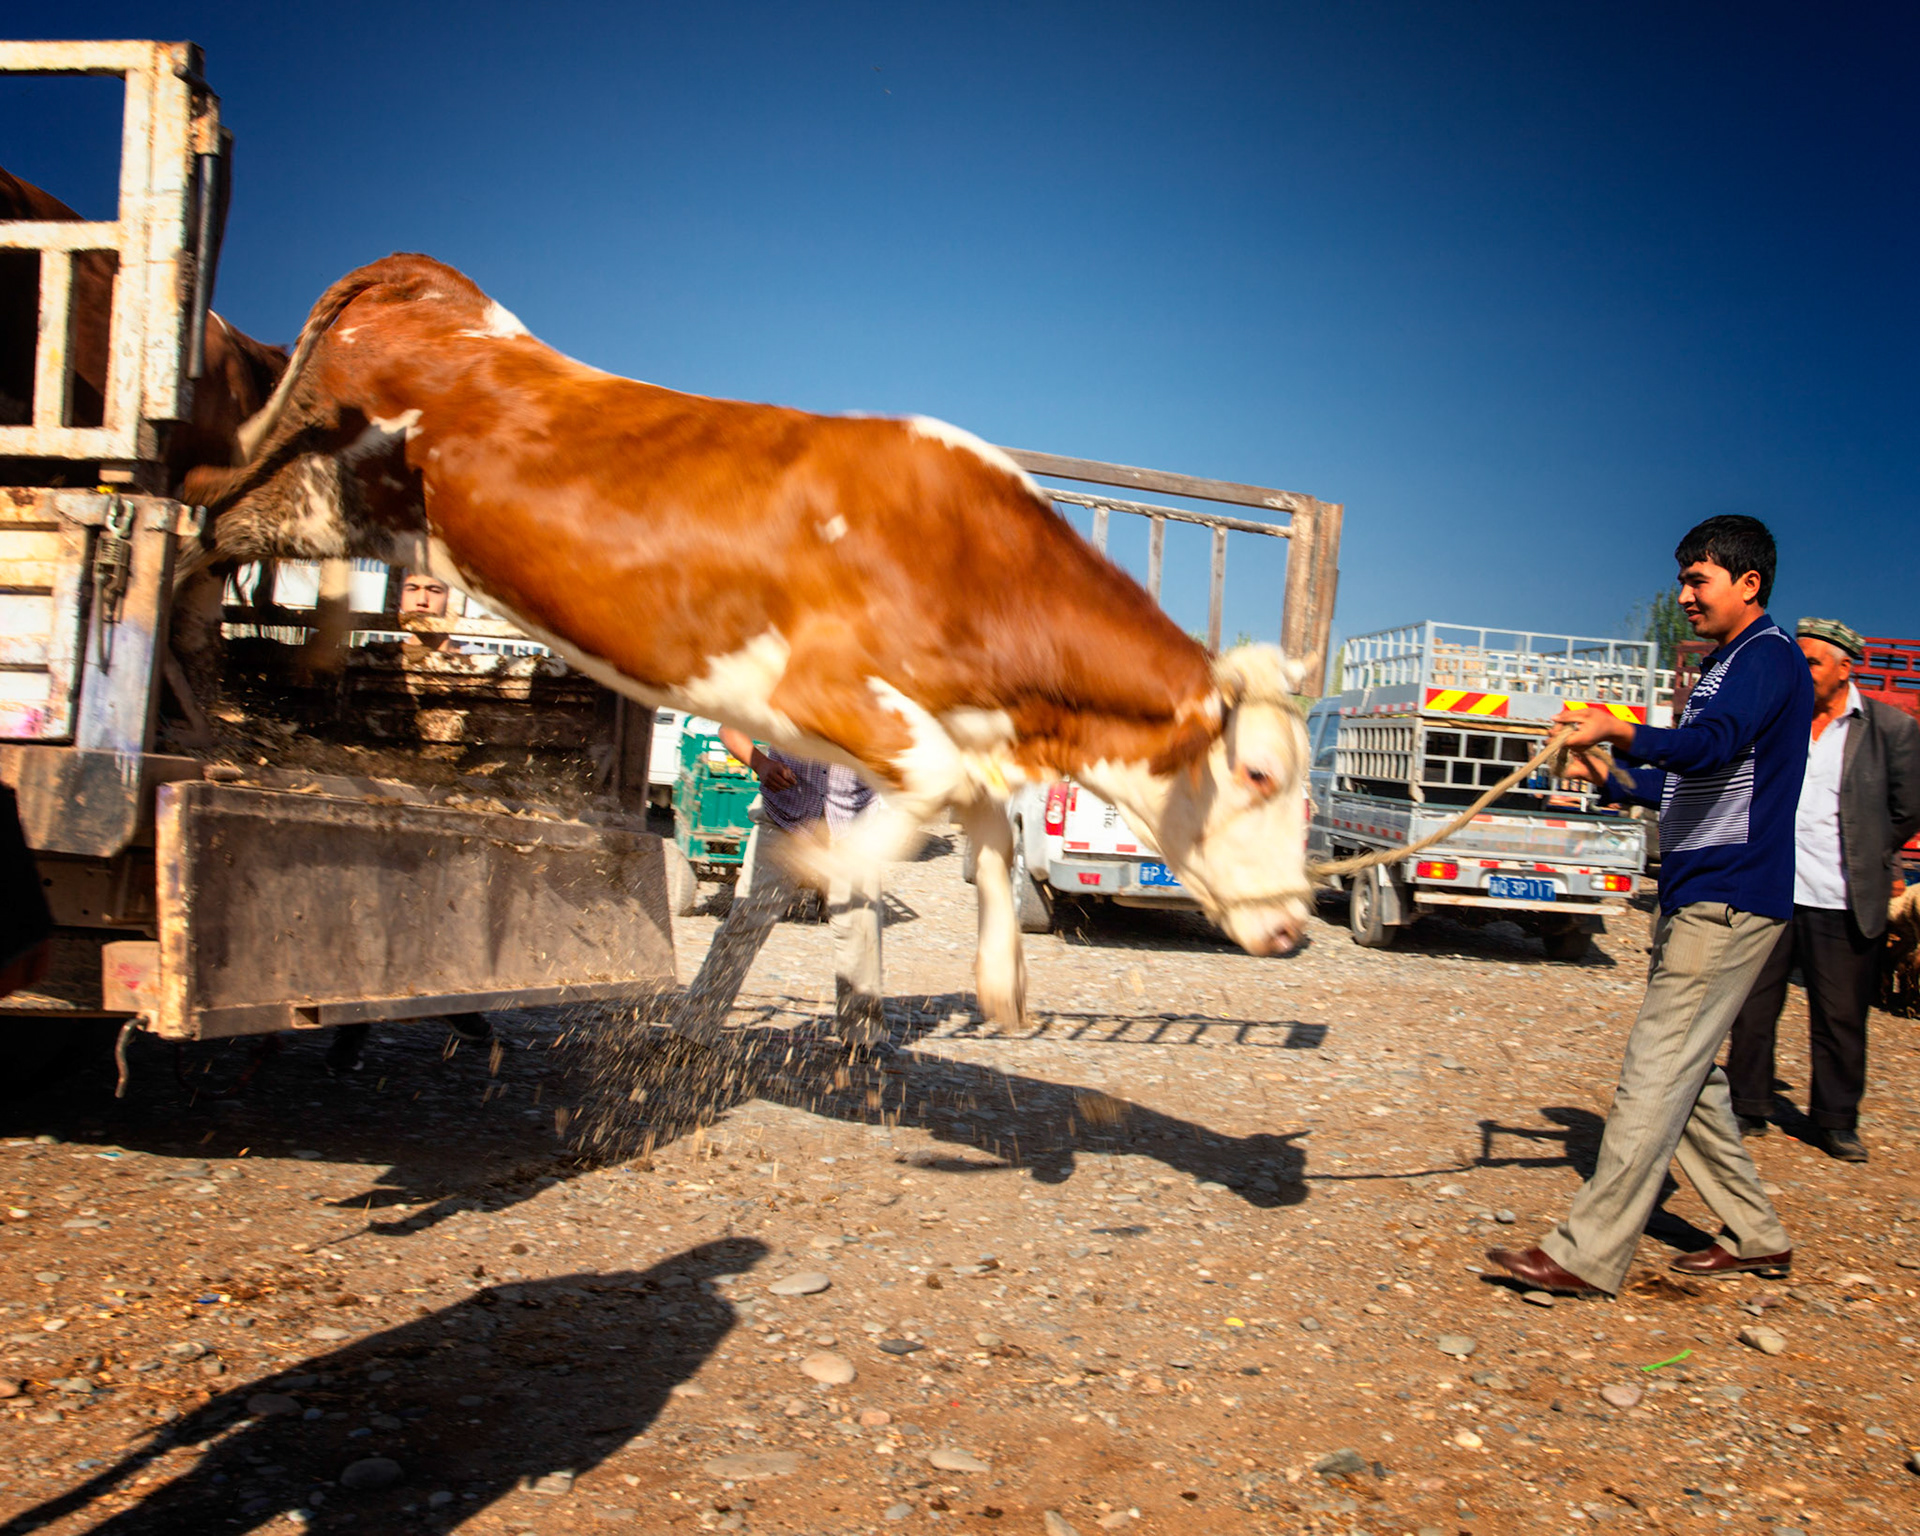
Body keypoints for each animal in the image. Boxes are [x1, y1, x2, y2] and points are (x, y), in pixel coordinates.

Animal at [185, 252, 1314, 1026]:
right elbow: (935, 796)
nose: (1299, 926)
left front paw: (1000, 983)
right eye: (1258, 774)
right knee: (200, 525)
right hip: (308, 480)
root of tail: (430, 286)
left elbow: (986, 826)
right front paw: (829, 863)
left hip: (356, 510)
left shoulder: (964, 728)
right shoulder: (822, 689)